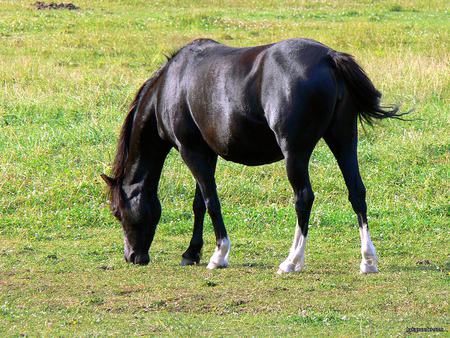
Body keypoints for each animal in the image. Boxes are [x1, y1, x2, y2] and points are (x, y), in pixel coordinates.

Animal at [101, 38, 404, 274]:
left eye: (117, 211)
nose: (132, 257)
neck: (169, 88)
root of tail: (329, 58)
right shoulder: (206, 153)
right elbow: (199, 204)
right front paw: (191, 253)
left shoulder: (191, 151)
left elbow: (211, 202)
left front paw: (219, 254)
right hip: (343, 141)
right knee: (357, 192)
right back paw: (368, 260)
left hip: (295, 154)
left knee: (304, 198)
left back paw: (292, 261)